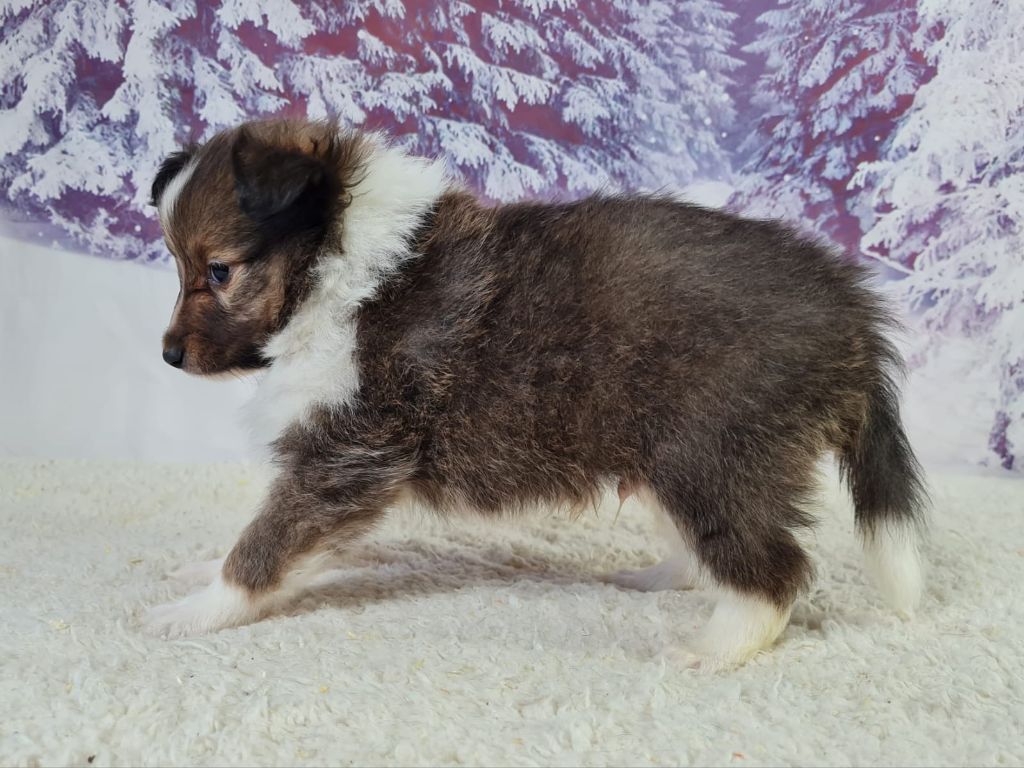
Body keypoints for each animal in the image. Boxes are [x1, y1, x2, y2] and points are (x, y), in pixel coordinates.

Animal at [145, 117, 927, 669]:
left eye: (218, 270)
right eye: (181, 265)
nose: (168, 356)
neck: (337, 264)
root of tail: (850, 307)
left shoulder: (348, 450)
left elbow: (267, 542)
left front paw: (197, 609)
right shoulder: (345, 456)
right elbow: (281, 538)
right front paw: (203, 572)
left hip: (713, 452)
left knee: (773, 567)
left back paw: (715, 648)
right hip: (677, 454)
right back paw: (663, 578)